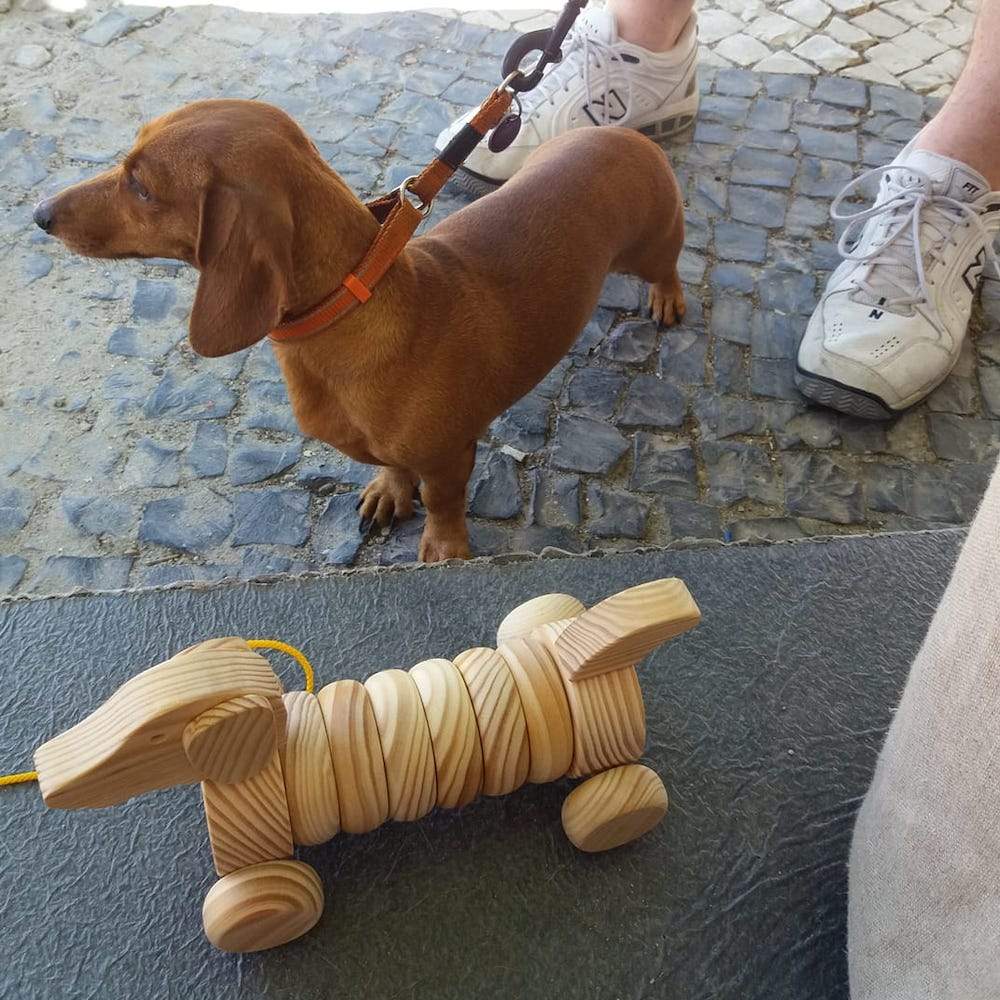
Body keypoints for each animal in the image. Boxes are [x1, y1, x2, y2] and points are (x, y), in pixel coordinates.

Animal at [33, 99, 688, 564]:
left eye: (143, 186)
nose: (39, 214)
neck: (351, 310)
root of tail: (626, 135)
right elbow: (394, 468)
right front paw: (389, 492)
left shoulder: (449, 455)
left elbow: (444, 503)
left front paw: (445, 548)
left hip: (653, 246)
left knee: (669, 266)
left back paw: (668, 298)